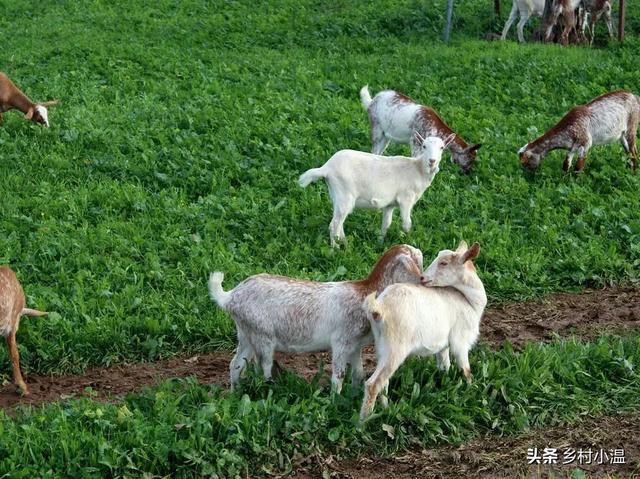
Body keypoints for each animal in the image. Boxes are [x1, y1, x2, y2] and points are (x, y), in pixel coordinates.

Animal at [209, 246, 424, 392]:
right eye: (415, 261)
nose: (423, 280)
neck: (365, 293)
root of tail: (230, 296)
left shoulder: (355, 345)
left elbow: (358, 373)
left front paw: (353, 394)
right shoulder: (341, 342)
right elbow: (339, 375)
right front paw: (335, 401)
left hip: (245, 332)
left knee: (236, 365)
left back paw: (235, 393)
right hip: (263, 336)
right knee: (264, 368)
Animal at [298, 134, 450, 248]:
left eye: (442, 147)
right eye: (424, 146)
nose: (432, 161)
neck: (417, 169)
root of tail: (326, 168)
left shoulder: (390, 205)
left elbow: (386, 224)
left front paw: (380, 243)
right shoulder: (406, 199)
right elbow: (407, 224)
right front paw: (408, 243)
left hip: (336, 195)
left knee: (339, 221)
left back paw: (345, 244)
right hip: (345, 194)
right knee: (334, 225)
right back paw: (335, 249)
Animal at [360, 242, 484, 422]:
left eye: (444, 262)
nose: (423, 278)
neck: (469, 301)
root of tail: (379, 308)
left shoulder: (443, 345)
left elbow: (444, 366)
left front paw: (444, 385)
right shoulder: (460, 341)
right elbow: (465, 370)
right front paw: (472, 390)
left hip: (382, 346)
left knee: (384, 382)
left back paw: (386, 409)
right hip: (395, 348)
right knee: (373, 384)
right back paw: (363, 422)